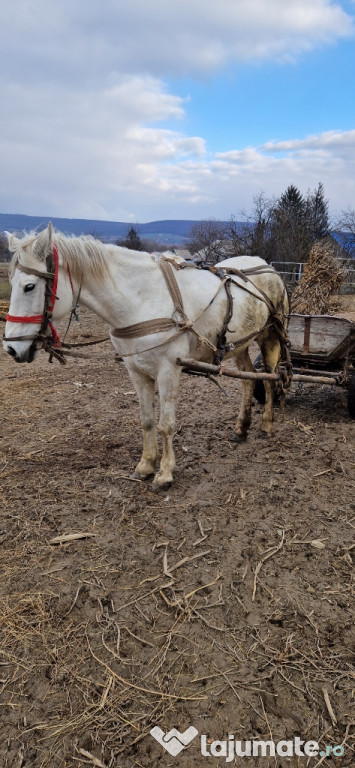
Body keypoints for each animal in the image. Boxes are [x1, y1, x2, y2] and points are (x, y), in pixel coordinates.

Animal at [3, 224, 290, 486]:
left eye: (29, 286)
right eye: (12, 283)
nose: (11, 348)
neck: (142, 300)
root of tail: (266, 267)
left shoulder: (168, 371)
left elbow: (166, 424)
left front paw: (165, 473)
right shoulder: (136, 371)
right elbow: (148, 421)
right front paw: (146, 465)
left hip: (269, 338)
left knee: (269, 379)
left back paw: (267, 424)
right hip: (240, 344)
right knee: (248, 380)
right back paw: (241, 429)